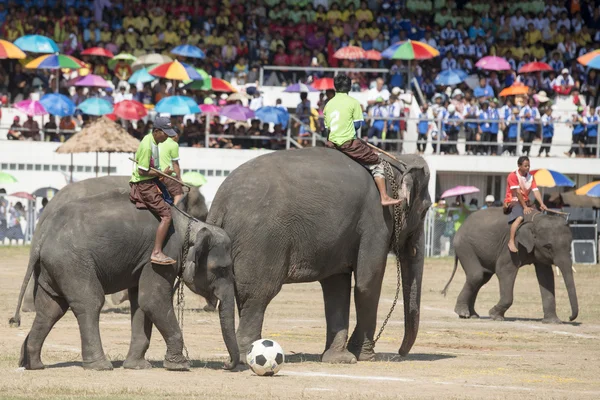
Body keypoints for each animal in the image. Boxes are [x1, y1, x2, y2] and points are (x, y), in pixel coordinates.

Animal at [207, 147, 432, 362]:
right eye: (426, 210)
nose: (401, 353)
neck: (395, 163)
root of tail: (220, 202)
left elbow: (336, 287)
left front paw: (339, 359)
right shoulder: (376, 222)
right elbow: (367, 284)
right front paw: (365, 357)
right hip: (261, 242)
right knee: (257, 295)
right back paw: (246, 357)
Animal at [442, 208, 580, 324]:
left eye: (569, 245)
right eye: (548, 247)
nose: (569, 318)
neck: (535, 220)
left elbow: (546, 277)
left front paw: (553, 322)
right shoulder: (511, 245)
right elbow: (504, 270)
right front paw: (495, 316)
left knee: (482, 278)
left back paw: (473, 315)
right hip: (465, 246)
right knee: (476, 276)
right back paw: (463, 313)